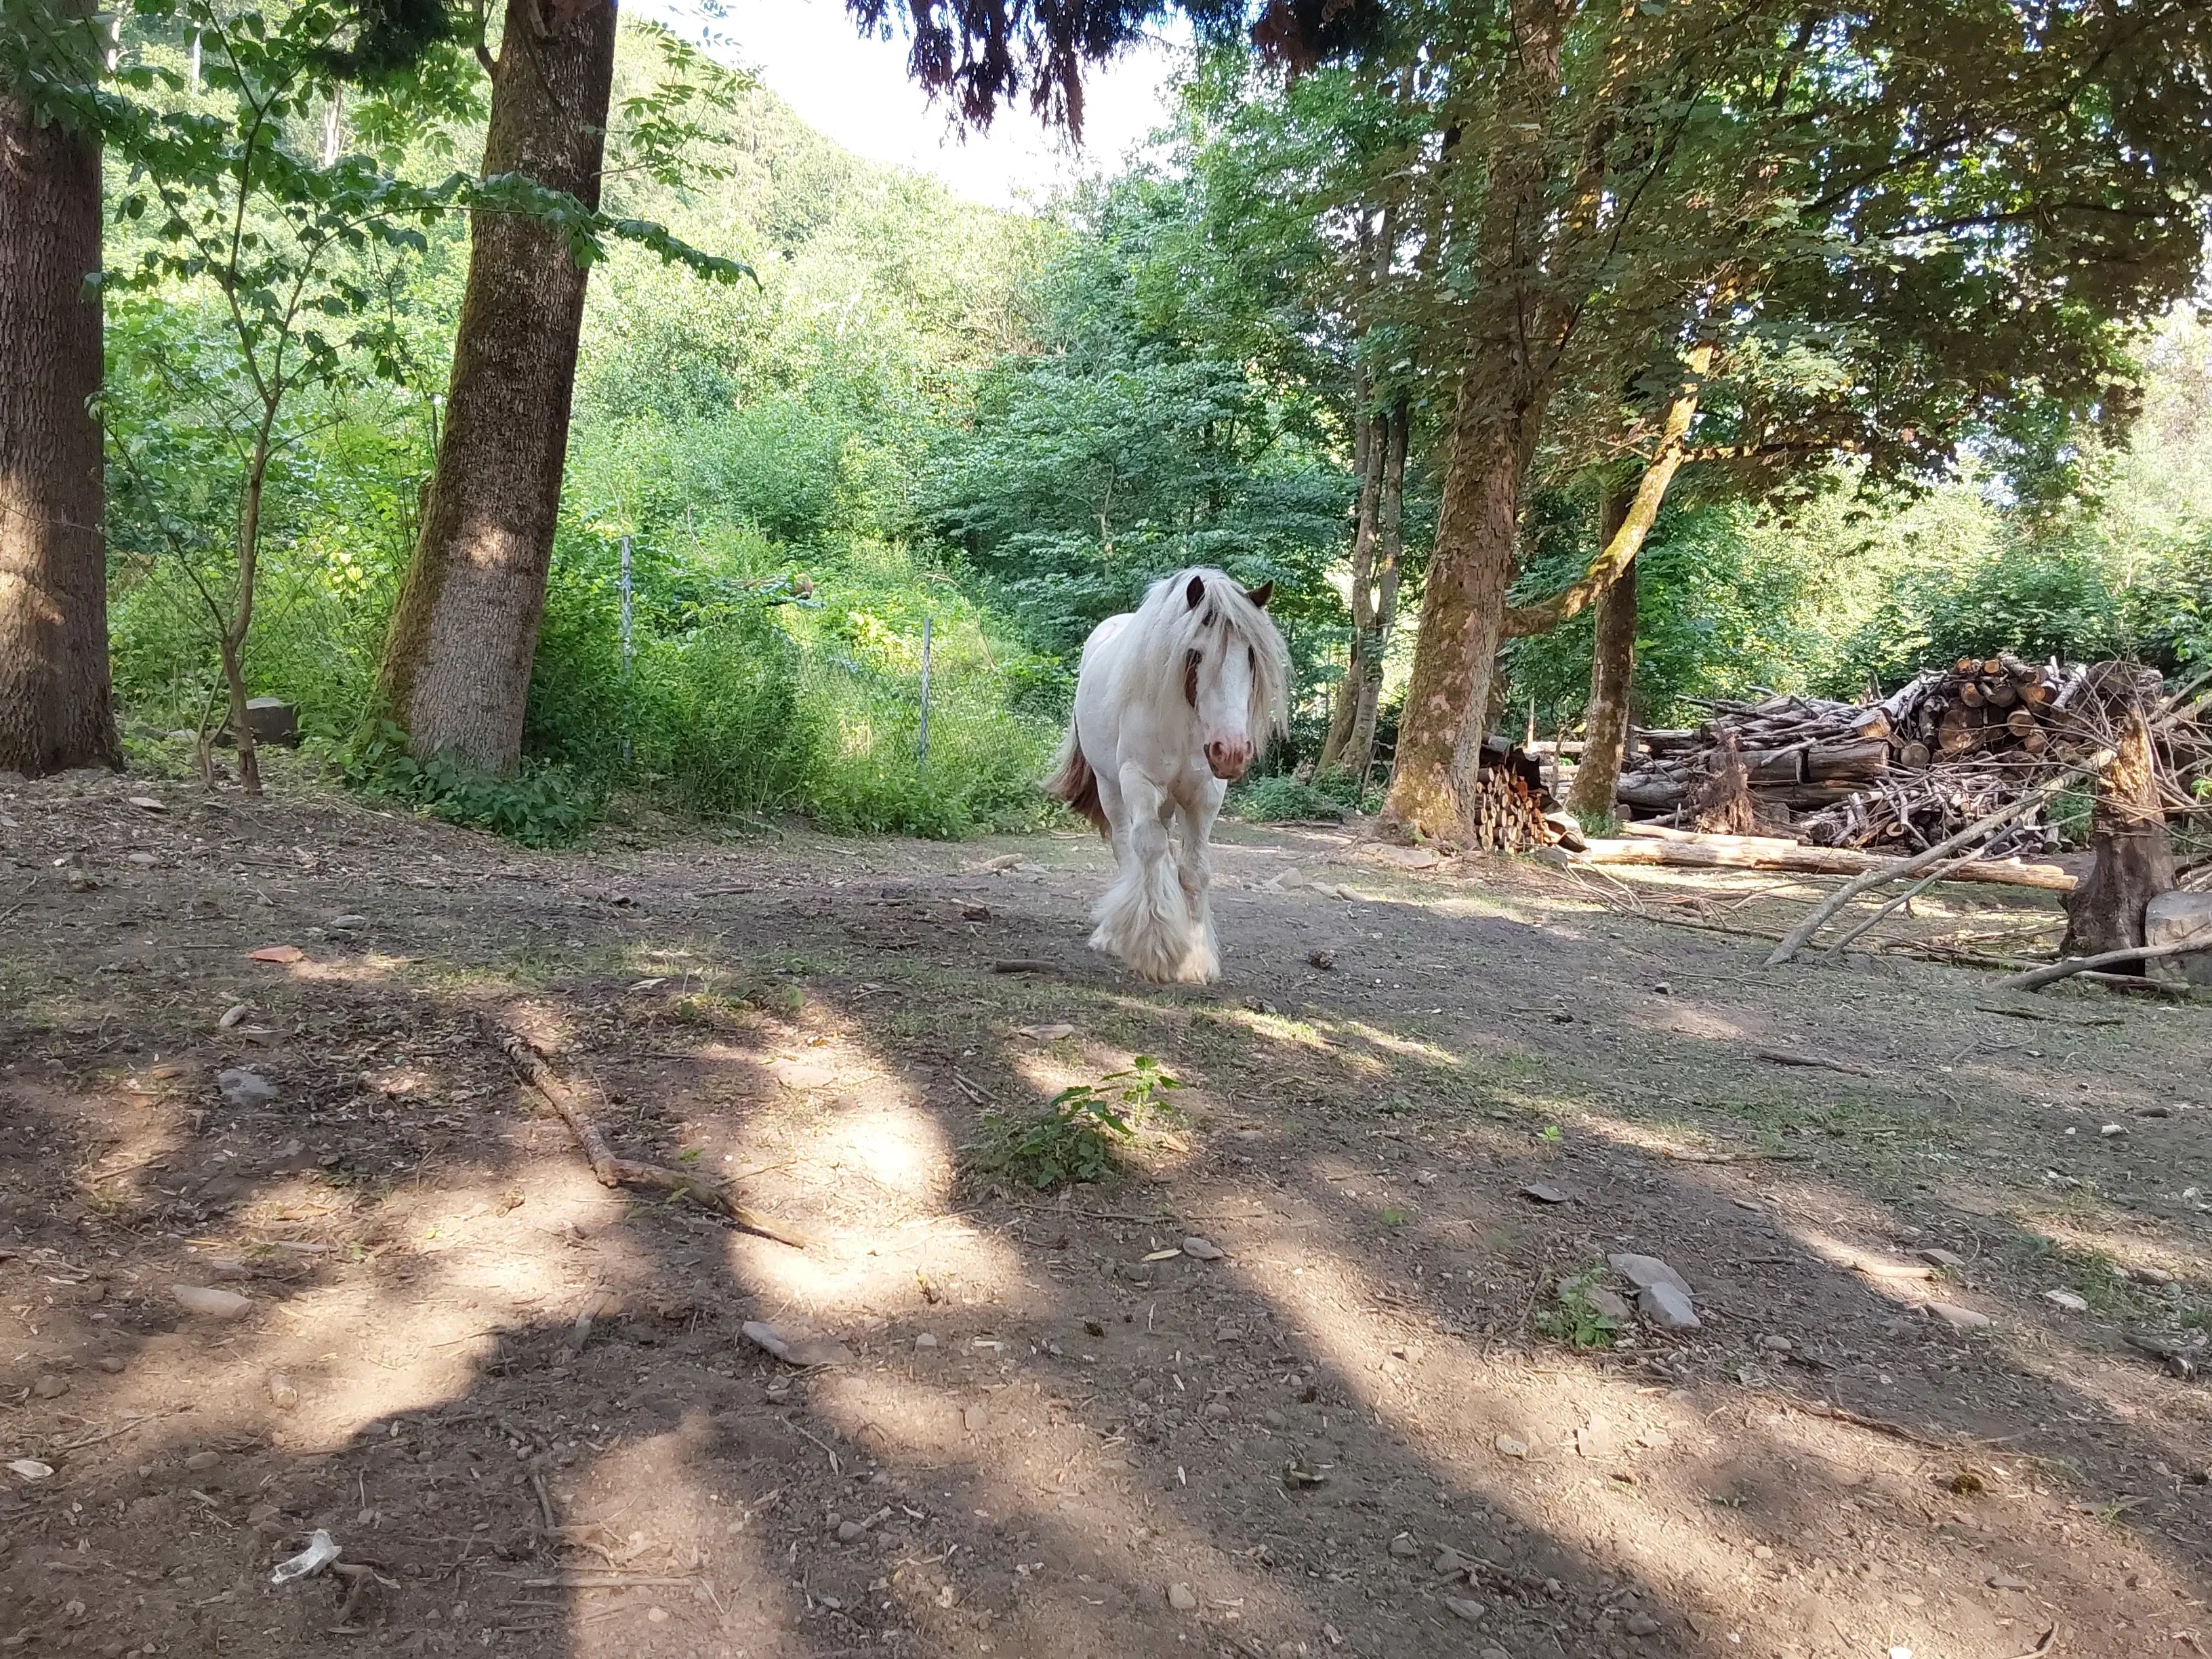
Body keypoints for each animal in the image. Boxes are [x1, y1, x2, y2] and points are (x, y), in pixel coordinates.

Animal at [1044, 571, 1292, 986]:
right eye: (1195, 653)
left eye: (1251, 656)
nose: (1231, 751)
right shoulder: (1139, 782)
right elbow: (1148, 850)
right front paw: (1156, 948)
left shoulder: (1206, 795)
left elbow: (1195, 869)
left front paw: (1195, 956)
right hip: (1113, 790)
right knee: (1129, 848)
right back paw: (1113, 934)